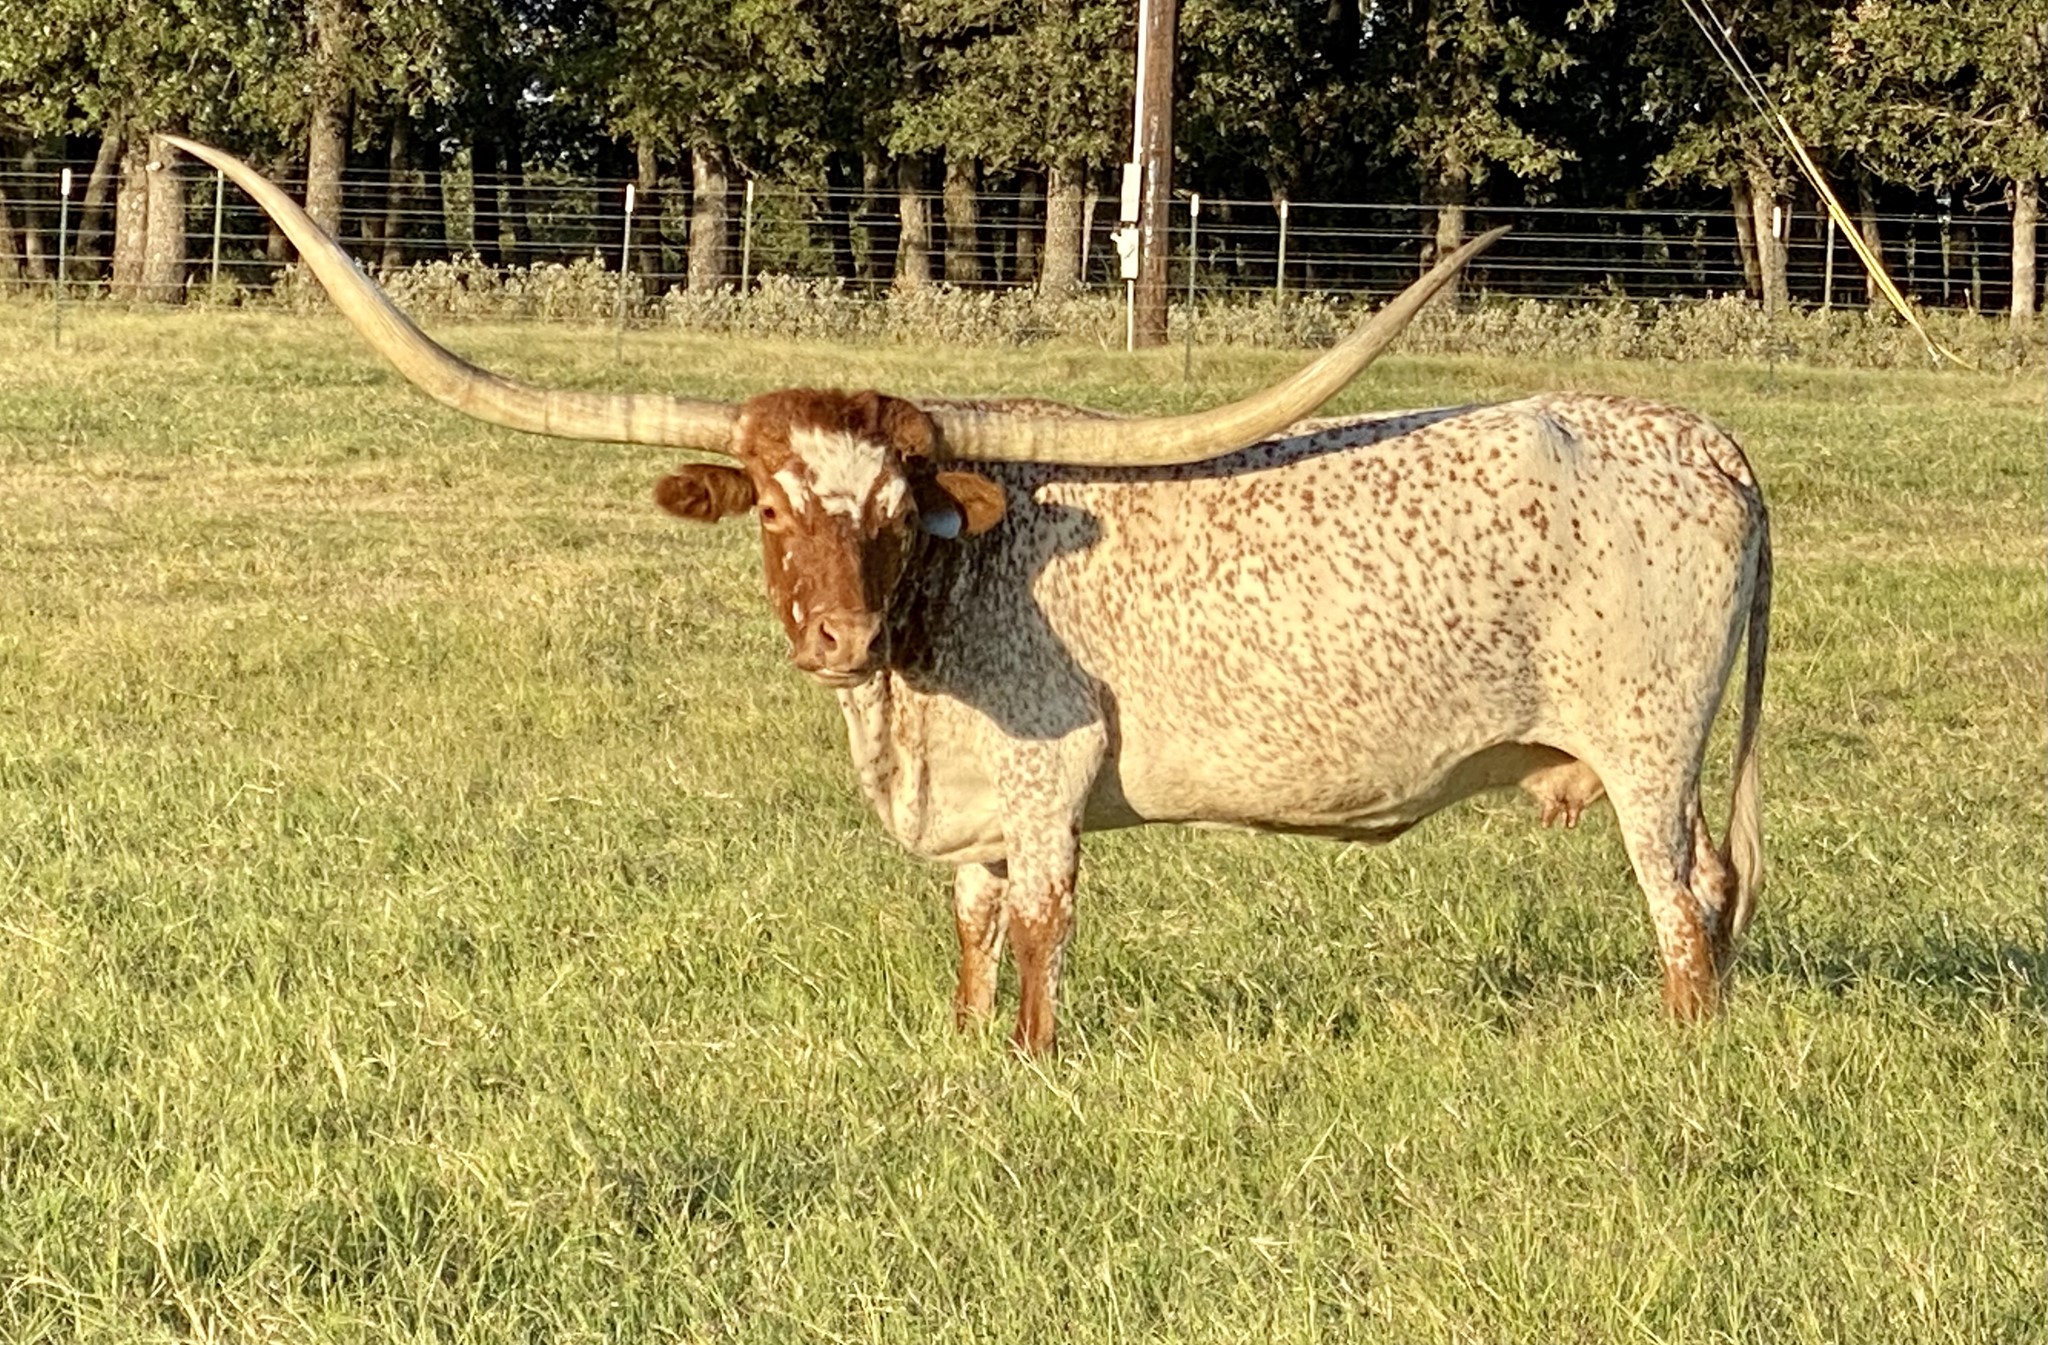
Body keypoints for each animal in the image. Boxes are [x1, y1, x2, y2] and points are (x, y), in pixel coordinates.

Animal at [171, 137, 1770, 1056]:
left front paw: (1032, 1071)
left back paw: (1683, 1057)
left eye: (894, 508)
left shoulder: (1051, 790)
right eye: (771, 506)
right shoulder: (975, 816)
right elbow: (975, 936)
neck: (926, 657)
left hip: (1648, 748)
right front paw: (959, 1055)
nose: (837, 635)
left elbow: (1046, 937)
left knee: (1685, 894)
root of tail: (1713, 444)